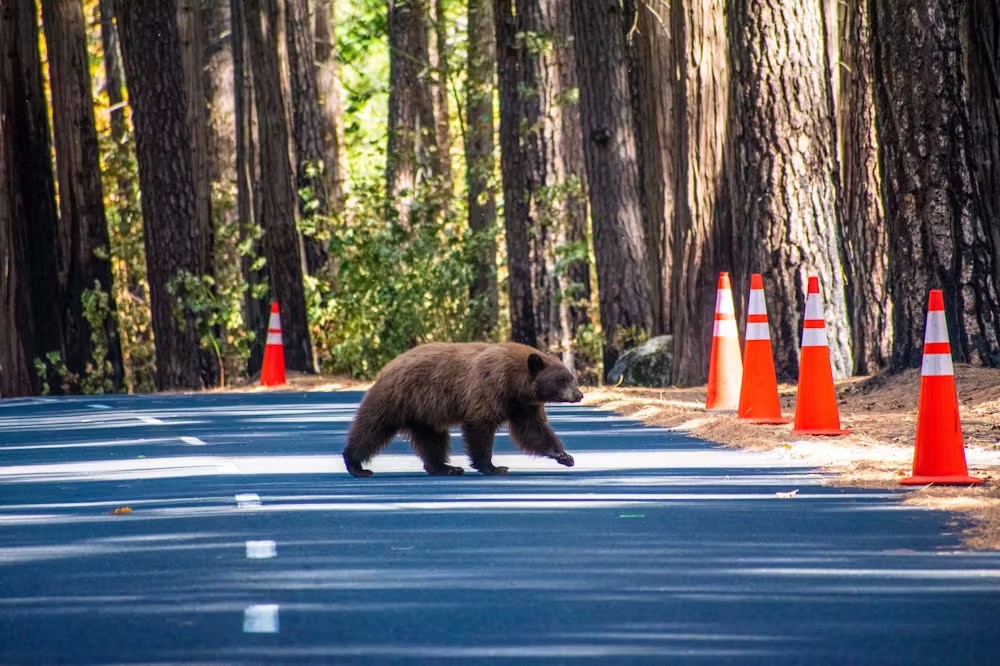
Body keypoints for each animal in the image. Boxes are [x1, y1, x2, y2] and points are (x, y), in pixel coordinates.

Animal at [342, 342, 584, 477]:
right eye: (563, 379)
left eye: (572, 378)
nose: (579, 395)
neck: (513, 383)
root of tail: (389, 365)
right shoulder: (488, 389)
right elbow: (479, 428)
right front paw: (493, 467)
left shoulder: (523, 405)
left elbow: (532, 430)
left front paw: (564, 456)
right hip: (398, 398)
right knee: (373, 428)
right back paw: (356, 465)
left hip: (424, 413)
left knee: (432, 439)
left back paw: (444, 468)